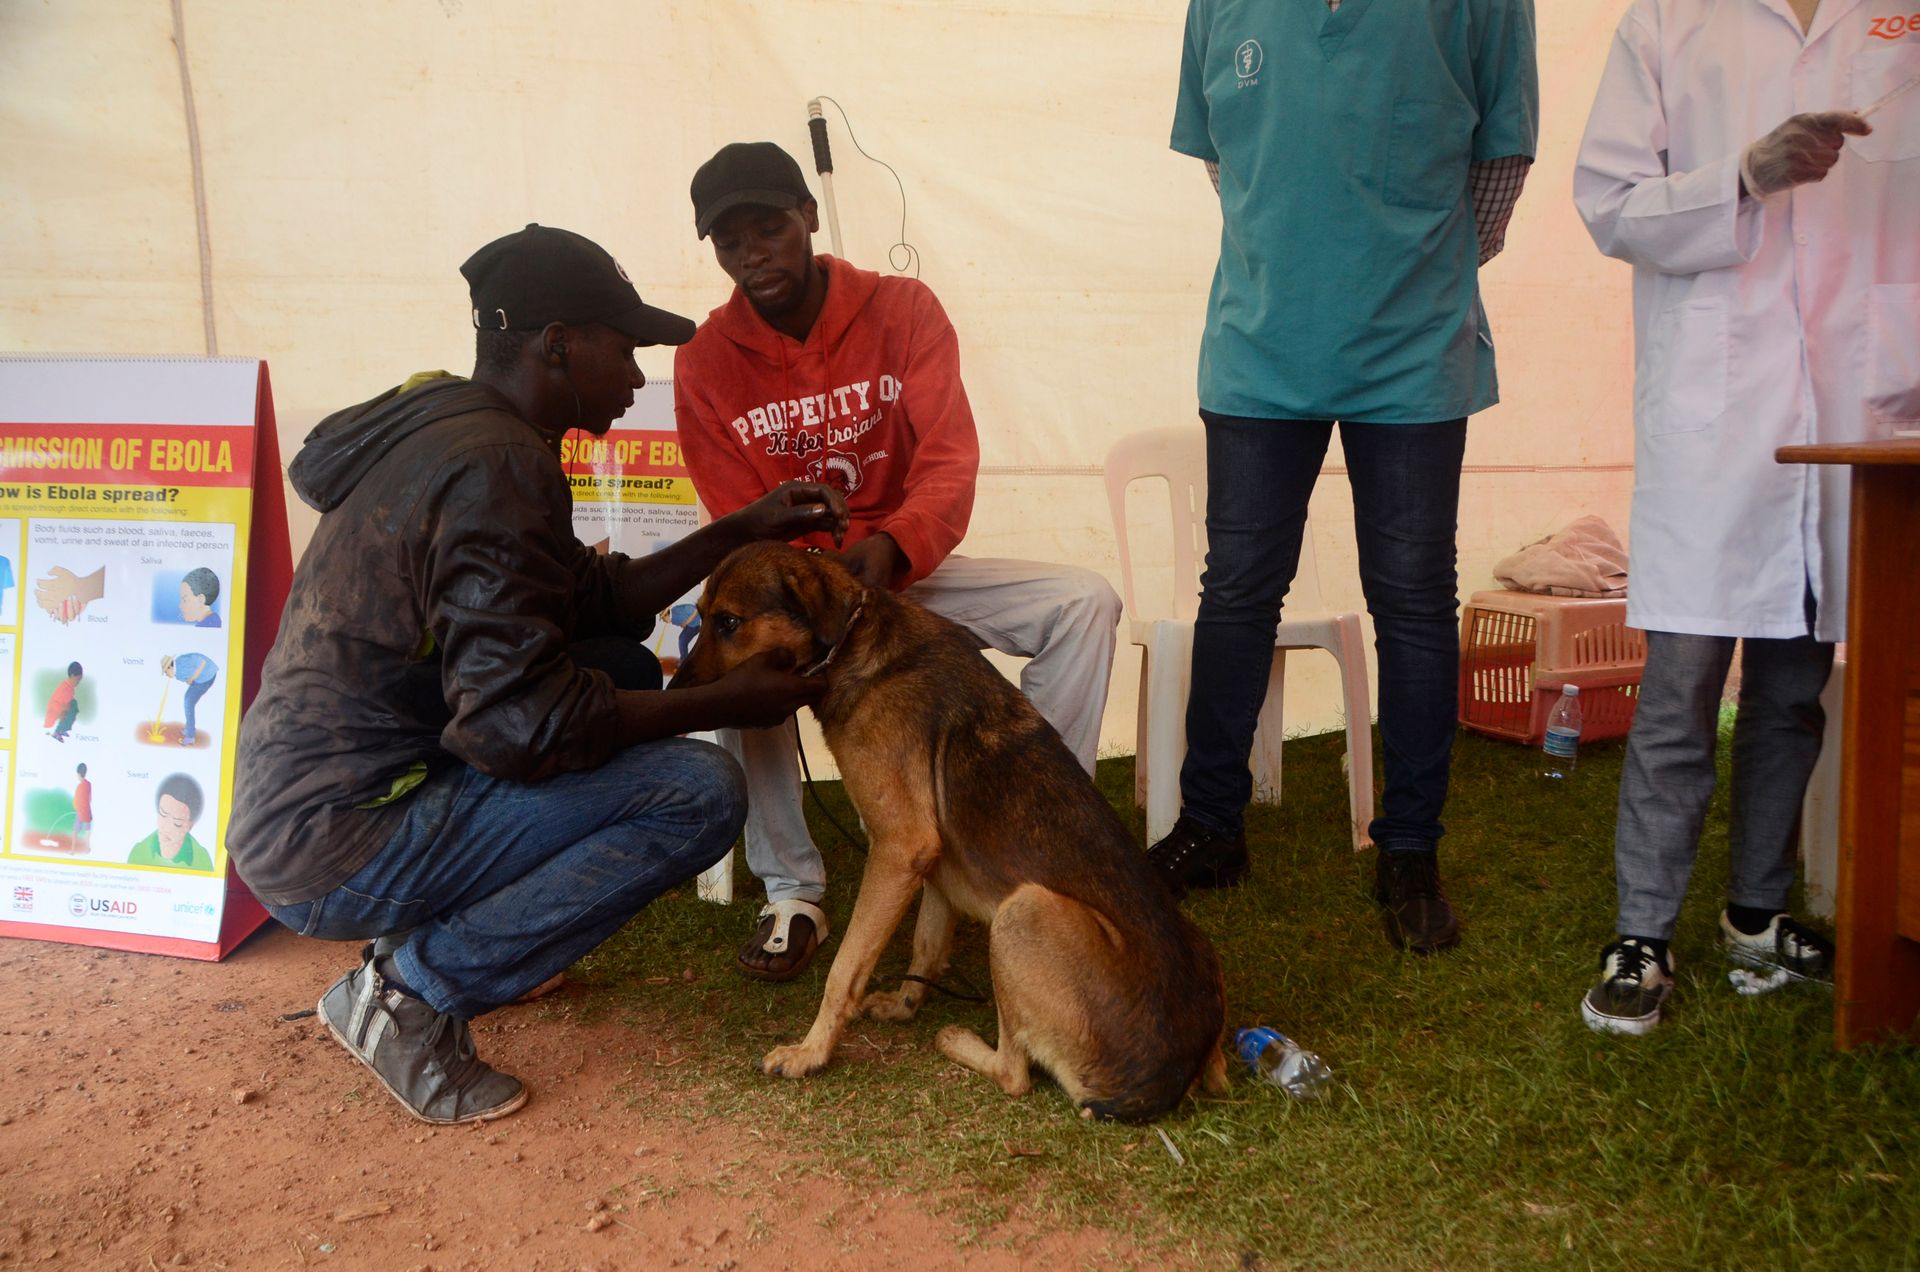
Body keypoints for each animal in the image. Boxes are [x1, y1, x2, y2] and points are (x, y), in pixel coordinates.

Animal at [668, 541, 1228, 1122]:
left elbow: (845, 968)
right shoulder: (929, 861)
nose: (673, 693)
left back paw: (957, 1040)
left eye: (729, 622)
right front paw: (904, 1004)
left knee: (1015, 1073)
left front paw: (811, 1052)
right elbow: (926, 943)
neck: (854, 643)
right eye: (700, 616)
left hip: (1023, 910)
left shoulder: (899, 847)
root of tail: (1166, 1079)